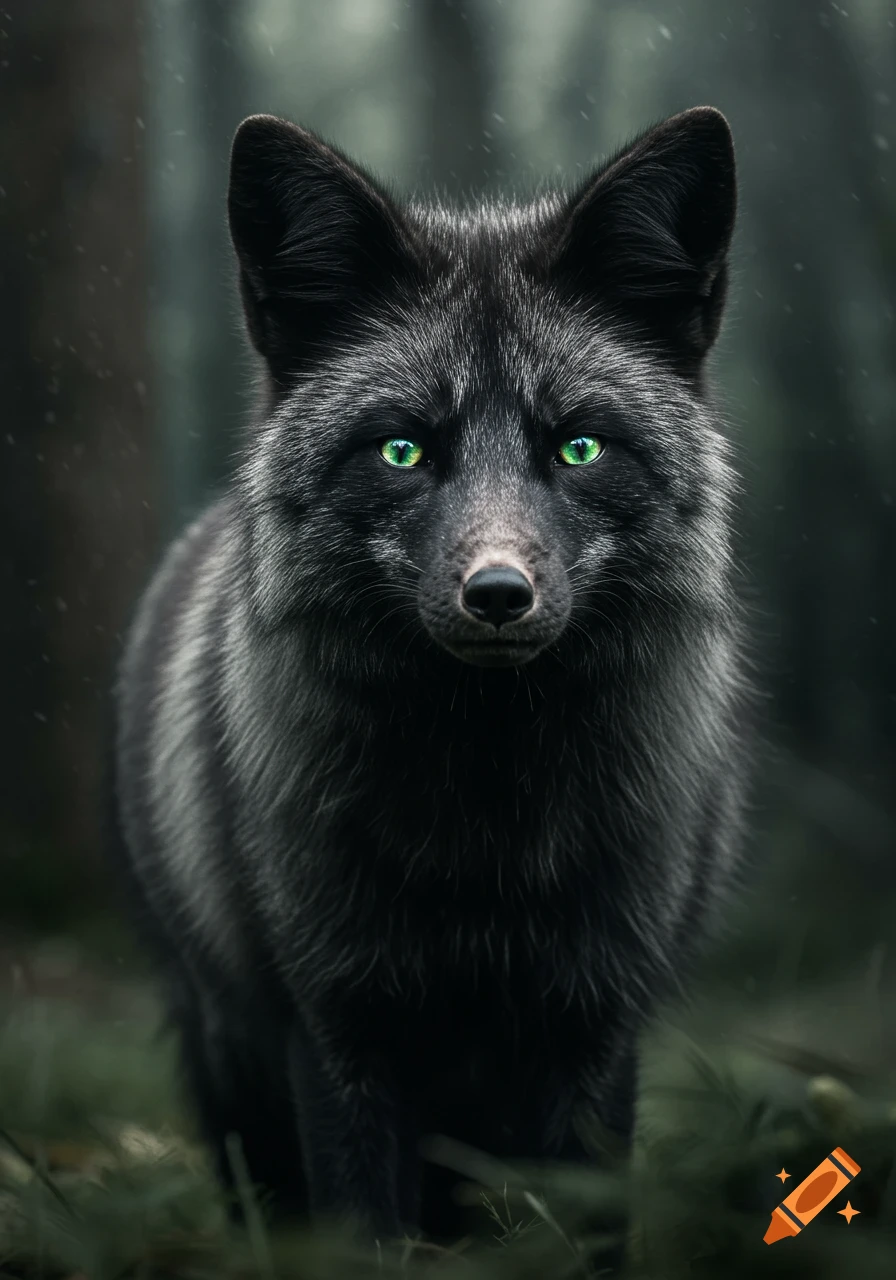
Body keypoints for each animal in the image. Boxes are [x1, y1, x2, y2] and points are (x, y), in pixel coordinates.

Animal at [112, 105, 751, 1264]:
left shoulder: (594, 1023)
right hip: (229, 1047)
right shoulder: (338, 1024)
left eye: (577, 447)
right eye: (403, 450)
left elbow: (587, 1228)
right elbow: (362, 1228)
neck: (483, 845)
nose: (496, 594)